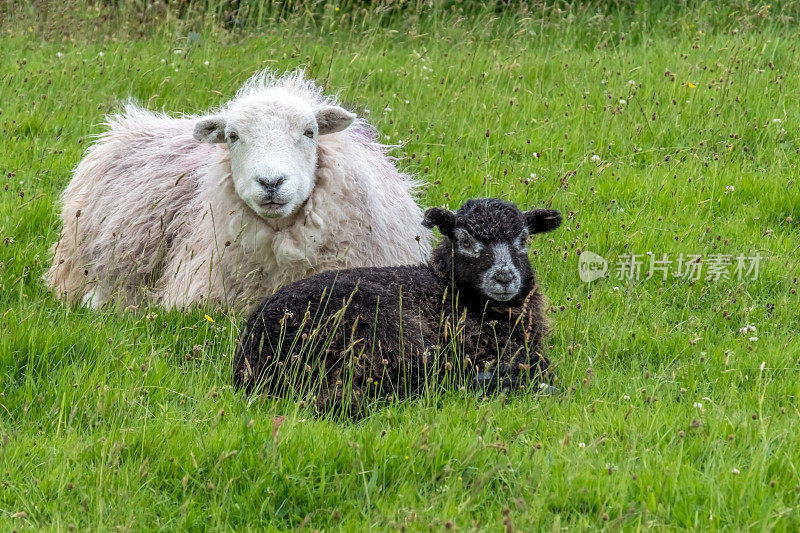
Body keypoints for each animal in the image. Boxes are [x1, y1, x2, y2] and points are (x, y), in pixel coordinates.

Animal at [233, 197, 564, 414]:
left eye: (523, 239)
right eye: (466, 240)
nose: (505, 278)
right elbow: (542, 364)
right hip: (386, 334)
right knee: (429, 385)